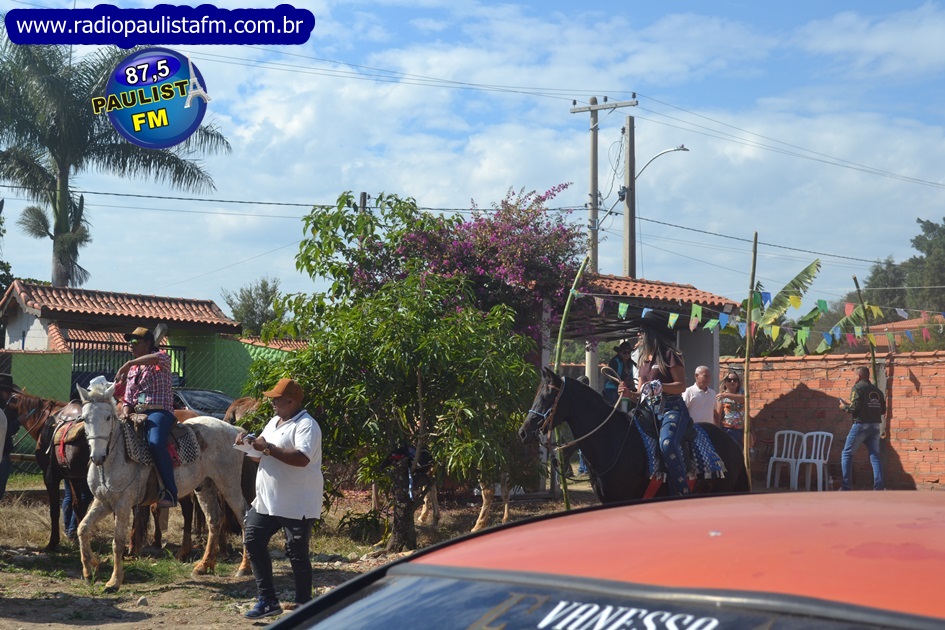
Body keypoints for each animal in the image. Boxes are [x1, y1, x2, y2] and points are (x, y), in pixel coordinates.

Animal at [76, 383, 251, 592]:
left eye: (108, 417)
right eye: (84, 418)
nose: (98, 456)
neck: (116, 457)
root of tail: (234, 429)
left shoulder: (123, 504)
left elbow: (117, 542)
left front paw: (114, 581)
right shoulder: (103, 502)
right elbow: (82, 529)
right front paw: (89, 570)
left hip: (228, 484)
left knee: (244, 517)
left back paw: (244, 567)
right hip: (205, 486)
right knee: (214, 521)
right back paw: (203, 566)